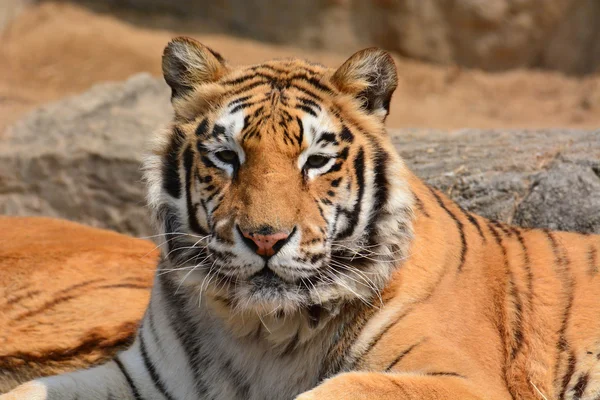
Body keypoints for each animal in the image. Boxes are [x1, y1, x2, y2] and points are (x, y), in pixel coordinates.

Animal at [2, 35, 596, 400]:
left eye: (315, 161)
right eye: (227, 156)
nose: (265, 239)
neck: (264, 332)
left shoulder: (459, 379)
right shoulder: (141, 377)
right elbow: (27, 388)